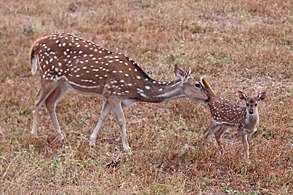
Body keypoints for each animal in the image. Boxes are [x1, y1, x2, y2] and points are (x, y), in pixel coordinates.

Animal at [29, 32, 209, 152]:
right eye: (197, 85)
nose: (208, 98)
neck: (136, 89)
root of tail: (36, 44)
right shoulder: (115, 93)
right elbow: (121, 120)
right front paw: (126, 147)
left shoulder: (109, 95)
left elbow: (102, 116)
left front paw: (92, 141)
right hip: (48, 75)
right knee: (37, 100)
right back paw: (34, 135)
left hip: (63, 83)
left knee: (50, 102)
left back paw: (61, 137)